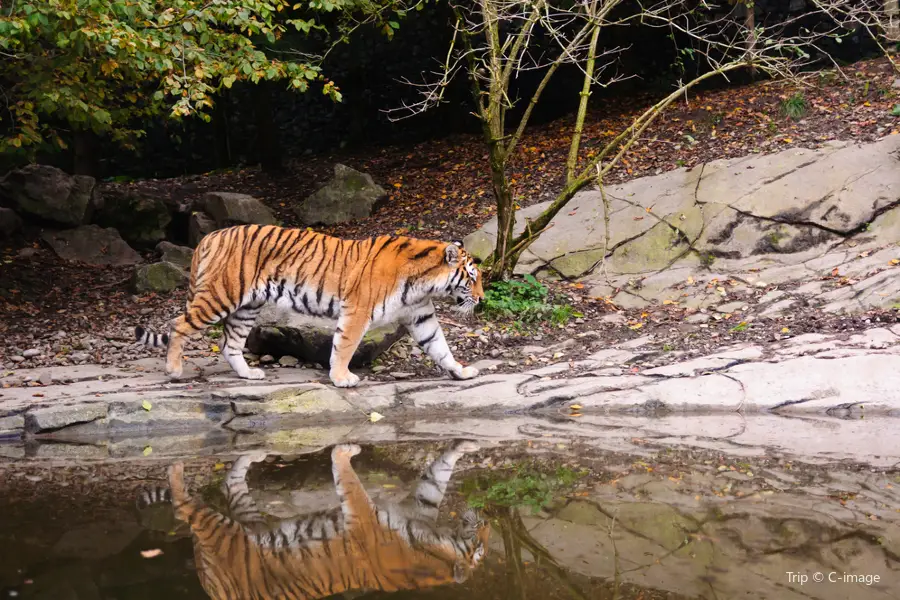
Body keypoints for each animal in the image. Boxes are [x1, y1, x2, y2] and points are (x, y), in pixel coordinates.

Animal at [134, 225, 486, 390]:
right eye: (472, 278)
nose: (482, 299)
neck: (424, 282)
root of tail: (209, 237)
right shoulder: (357, 311)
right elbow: (345, 346)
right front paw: (342, 378)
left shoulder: (421, 315)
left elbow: (440, 346)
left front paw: (461, 371)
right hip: (220, 296)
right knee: (178, 324)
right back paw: (174, 370)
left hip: (247, 307)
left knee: (229, 343)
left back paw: (249, 374)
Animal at [138, 440, 492, 600]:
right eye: (480, 547)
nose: (489, 522)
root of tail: (209, 585)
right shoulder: (370, 514)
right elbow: (350, 480)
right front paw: (345, 450)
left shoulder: (416, 506)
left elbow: (439, 473)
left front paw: (467, 444)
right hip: (221, 528)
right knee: (186, 506)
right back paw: (176, 467)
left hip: (243, 523)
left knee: (226, 488)